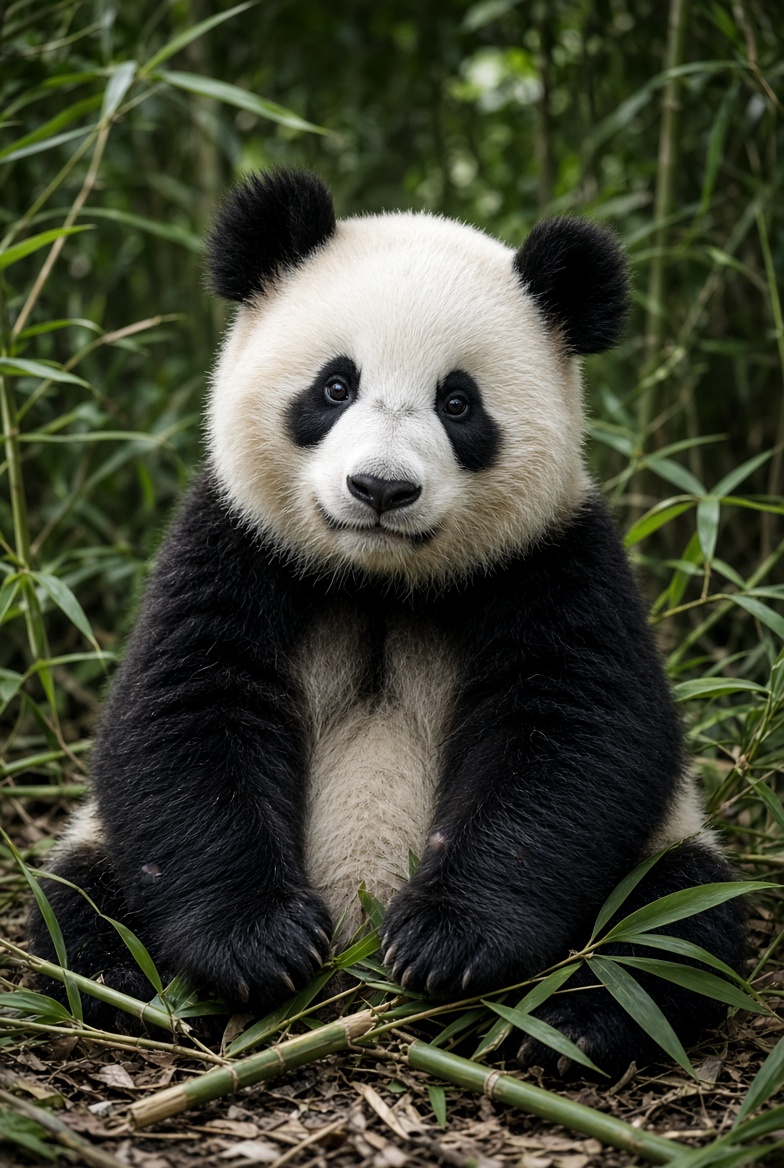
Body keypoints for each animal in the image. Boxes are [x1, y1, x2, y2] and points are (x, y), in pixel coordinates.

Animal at [30, 169, 745, 1078]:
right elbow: (185, 716)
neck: (380, 580)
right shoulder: (234, 543)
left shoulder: (553, 562)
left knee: (676, 922)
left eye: (458, 402)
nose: (380, 489)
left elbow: (576, 738)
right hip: (99, 845)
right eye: (335, 387)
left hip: (665, 849)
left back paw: (576, 1020)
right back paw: (130, 985)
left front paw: (447, 942)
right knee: (72, 907)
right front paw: (262, 945)